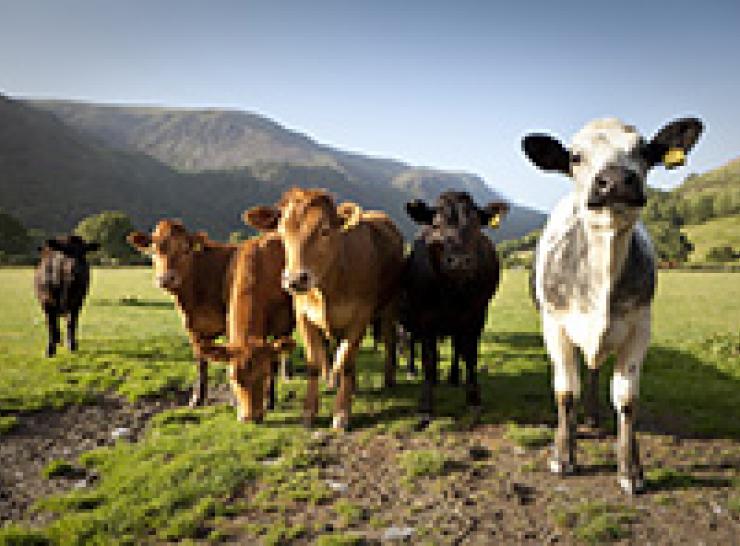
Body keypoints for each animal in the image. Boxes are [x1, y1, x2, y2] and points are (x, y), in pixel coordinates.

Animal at [127, 219, 237, 406]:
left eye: (186, 249)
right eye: (154, 249)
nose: (167, 278)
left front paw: (235, 401)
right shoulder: (193, 328)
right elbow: (201, 362)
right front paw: (197, 399)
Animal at [201, 230, 300, 420]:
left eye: (264, 375)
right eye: (233, 378)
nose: (250, 417)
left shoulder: (281, 323)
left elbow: (274, 359)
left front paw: (270, 401)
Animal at [244, 188, 404, 430]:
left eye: (325, 230)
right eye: (281, 231)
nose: (295, 279)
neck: (327, 288)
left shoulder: (360, 317)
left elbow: (345, 361)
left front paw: (341, 413)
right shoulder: (303, 317)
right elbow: (314, 362)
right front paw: (309, 412)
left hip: (389, 307)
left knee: (389, 340)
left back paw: (387, 378)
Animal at [398, 189, 508, 418]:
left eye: (477, 225)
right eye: (436, 224)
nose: (459, 261)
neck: (451, 289)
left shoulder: (477, 314)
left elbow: (471, 354)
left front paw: (473, 398)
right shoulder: (424, 316)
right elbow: (428, 357)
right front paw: (426, 403)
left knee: (458, 347)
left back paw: (454, 377)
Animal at [524, 117, 704, 490]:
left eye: (645, 150)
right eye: (575, 156)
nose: (617, 179)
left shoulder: (640, 328)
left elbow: (627, 399)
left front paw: (630, 469)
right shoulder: (555, 326)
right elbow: (566, 392)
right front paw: (563, 455)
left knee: (593, 371)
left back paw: (593, 416)